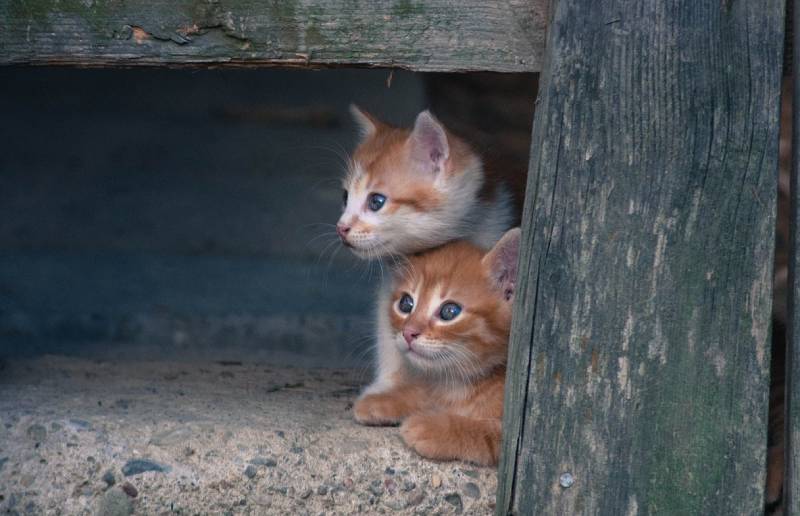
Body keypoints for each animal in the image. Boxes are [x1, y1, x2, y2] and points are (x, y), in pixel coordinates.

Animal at [352, 228, 520, 466]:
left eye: (449, 311)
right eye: (406, 304)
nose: (408, 333)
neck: (463, 384)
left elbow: (487, 434)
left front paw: (432, 427)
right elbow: (424, 393)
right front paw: (384, 400)